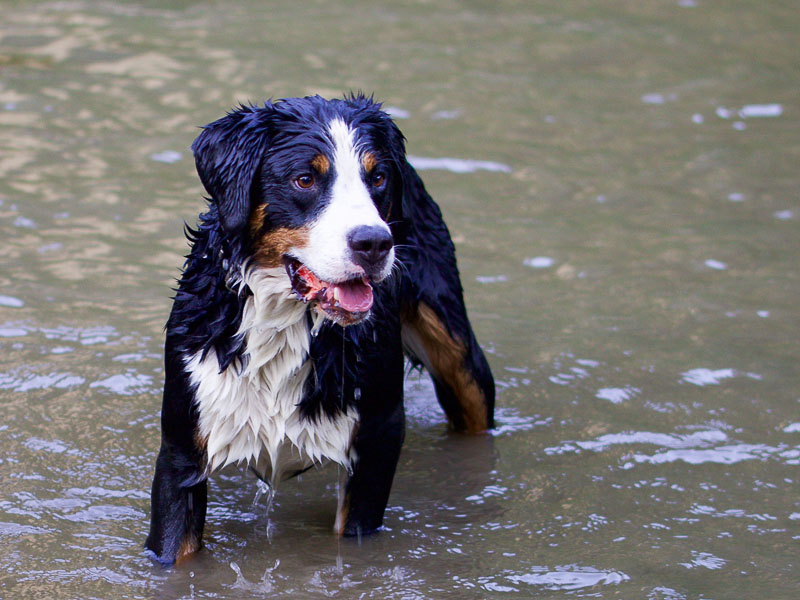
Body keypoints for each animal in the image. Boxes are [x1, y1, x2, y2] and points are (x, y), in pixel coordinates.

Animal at [145, 95, 494, 568]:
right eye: (306, 179)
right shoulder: (181, 452)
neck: (285, 324)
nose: (374, 243)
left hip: (460, 359)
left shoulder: (377, 441)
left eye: (377, 177)